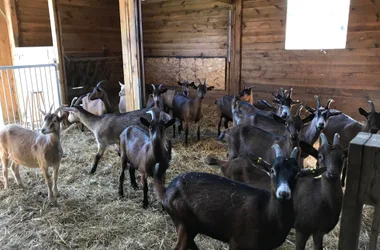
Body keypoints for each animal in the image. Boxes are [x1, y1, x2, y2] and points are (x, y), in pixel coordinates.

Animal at [153, 146, 320, 249]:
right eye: (272, 170)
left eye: (297, 174)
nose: (284, 193)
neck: (266, 213)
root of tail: (167, 191)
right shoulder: (238, 242)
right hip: (183, 221)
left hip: (188, 224)